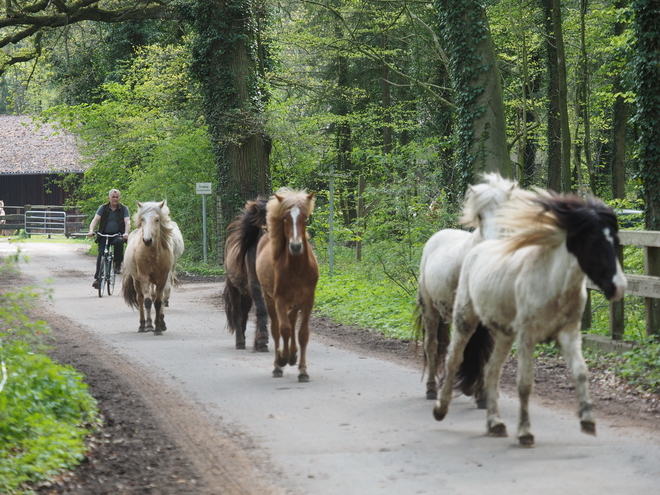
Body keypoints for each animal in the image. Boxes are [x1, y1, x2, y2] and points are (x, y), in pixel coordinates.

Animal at [223, 196, 270, 350]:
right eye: (264, 227)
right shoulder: (256, 285)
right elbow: (261, 309)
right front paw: (262, 340)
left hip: (247, 294)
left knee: (244, 315)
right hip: (234, 288)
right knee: (238, 313)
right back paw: (239, 342)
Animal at [255, 188, 318, 382]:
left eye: (305, 217)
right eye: (284, 217)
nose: (296, 246)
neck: (297, 268)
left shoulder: (308, 301)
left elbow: (302, 334)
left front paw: (303, 370)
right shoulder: (280, 300)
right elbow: (284, 330)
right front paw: (282, 359)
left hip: (295, 303)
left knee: (291, 322)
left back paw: (293, 354)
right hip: (269, 299)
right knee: (277, 329)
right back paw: (279, 364)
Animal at [416, 172, 524, 402]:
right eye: (480, 216)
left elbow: (485, 354)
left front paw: (481, 393)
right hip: (430, 309)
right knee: (432, 346)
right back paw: (431, 388)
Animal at [436, 194, 628, 450]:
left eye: (615, 241)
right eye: (593, 242)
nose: (618, 287)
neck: (552, 282)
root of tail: (477, 250)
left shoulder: (569, 334)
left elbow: (580, 372)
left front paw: (587, 421)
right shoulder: (527, 337)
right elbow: (525, 384)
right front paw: (525, 433)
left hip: (504, 334)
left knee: (491, 371)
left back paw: (495, 424)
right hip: (465, 320)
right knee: (453, 360)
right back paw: (440, 409)